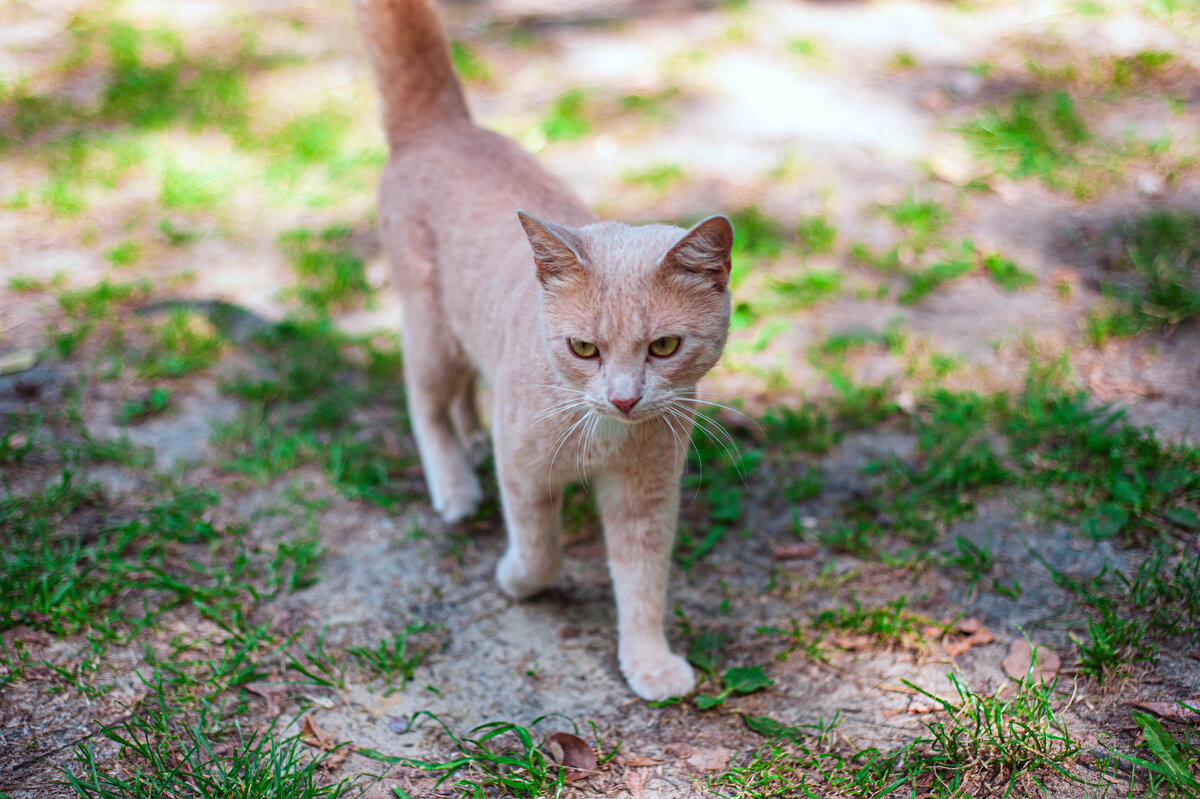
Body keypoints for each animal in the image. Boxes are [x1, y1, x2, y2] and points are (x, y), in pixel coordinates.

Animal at [352, 0, 729, 695]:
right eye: (583, 348)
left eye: (664, 346)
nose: (625, 398)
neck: (603, 437)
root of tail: (443, 129)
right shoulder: (524, 471)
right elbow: (540, 548)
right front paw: (516, 579)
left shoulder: (645, 495)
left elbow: (643, 582)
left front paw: (648, 662)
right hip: (431, 330)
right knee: (425, 402)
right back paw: (454, 485)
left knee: (465, 393)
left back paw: (470, 440)